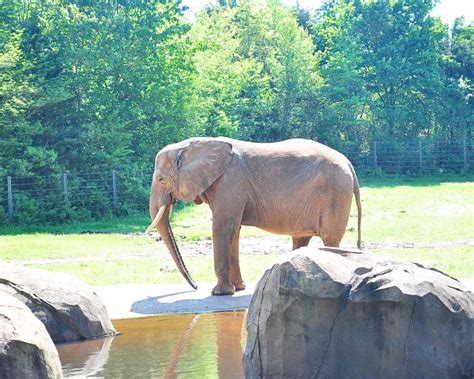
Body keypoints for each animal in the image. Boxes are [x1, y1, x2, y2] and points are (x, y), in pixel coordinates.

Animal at [146, 137, 362, 296]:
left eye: (161, 179)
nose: (196, 286)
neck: (191, 145)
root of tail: (348, 163)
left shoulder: (230, 183)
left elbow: (223, 227)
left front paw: (220, 293)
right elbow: (234, 229)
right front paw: (239, 288)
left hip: (335, 192)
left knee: (330, 238)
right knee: (302, 239)